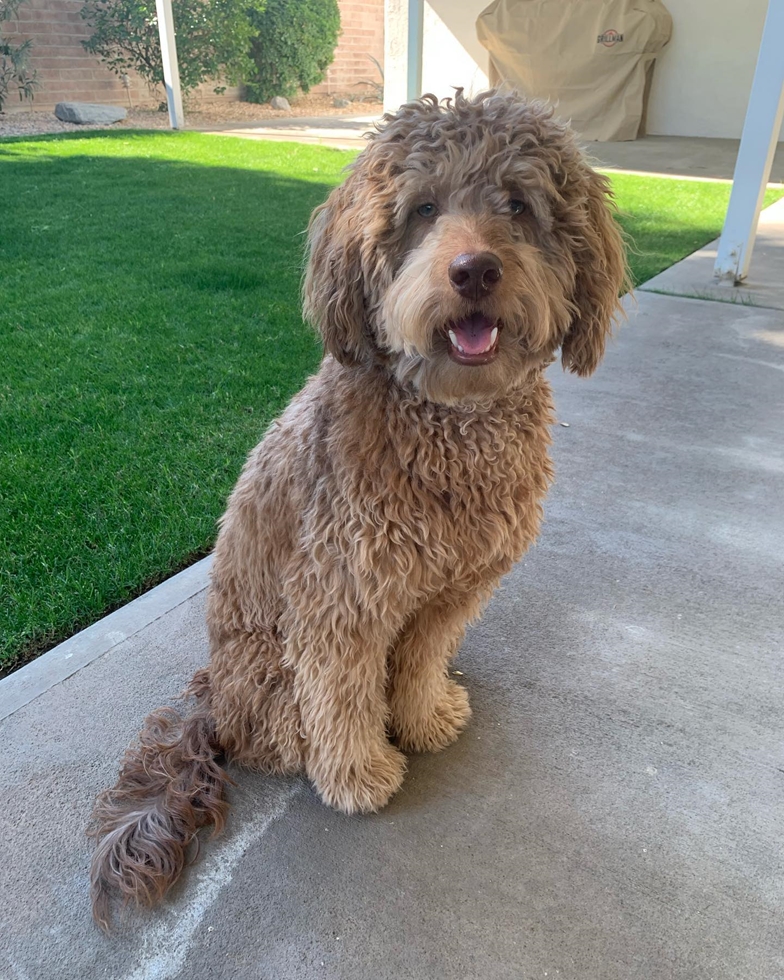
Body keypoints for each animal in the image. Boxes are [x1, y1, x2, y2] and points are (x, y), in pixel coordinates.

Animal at [87, 90, 624, 928]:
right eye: (423, 207)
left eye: (518, 203)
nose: (475, 270)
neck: (450, 419)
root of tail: (212, 694)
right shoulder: (339, 594)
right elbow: (342, 694)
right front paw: (361, 775)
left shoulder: (452, 592)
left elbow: (422, 659)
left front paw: (426, 717)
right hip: (268, 682)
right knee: (284, 732)